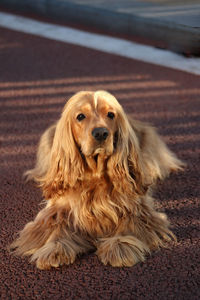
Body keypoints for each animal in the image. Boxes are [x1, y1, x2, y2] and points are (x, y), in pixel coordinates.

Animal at [10, 90, 184, 268]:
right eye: (80, 116)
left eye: (111, 114)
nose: (101, 133)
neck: (95, 173)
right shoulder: (57, 207)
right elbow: (57, 225)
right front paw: (55, 248)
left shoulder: (136, 205)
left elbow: (129, 221)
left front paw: (120, 246)